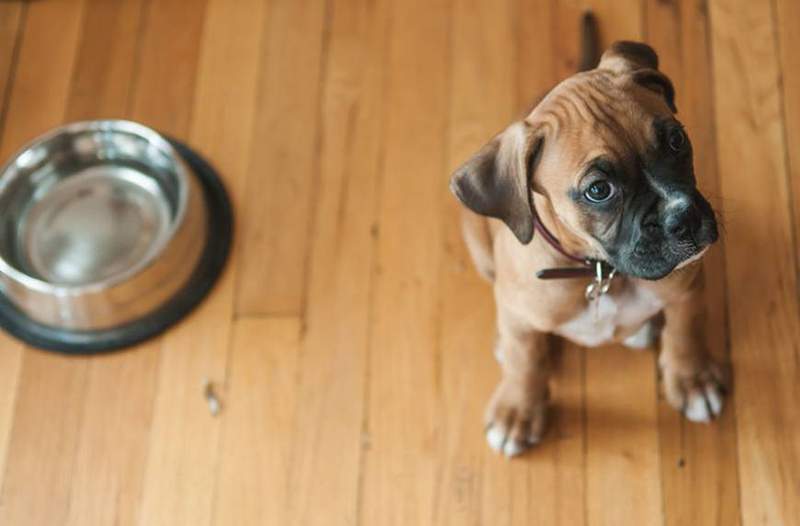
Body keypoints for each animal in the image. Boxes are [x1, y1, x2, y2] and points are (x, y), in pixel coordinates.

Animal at [450, 24, 724, 456]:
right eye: (599, 191)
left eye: (676, 141)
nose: (683, 218)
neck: (599, 270)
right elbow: (524, 359)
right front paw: (517, 410)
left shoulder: (687, 286)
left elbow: (686, 328)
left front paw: (692, 378)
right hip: (477, 240)